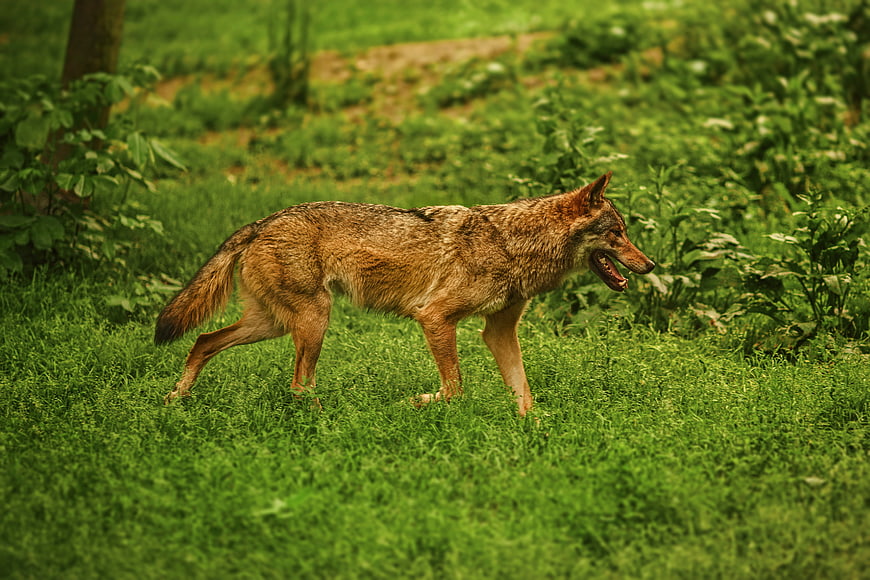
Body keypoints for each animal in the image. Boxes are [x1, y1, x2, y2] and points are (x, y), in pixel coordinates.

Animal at [155, 172, 654, 415]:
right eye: (618, 234)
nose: (650, 266)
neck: (513, 244)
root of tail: (262, 221)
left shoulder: (497, 332)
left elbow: (523, 393)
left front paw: (534, 431)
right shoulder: (434, 317)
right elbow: (455, 390)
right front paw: (414, 403)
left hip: (275, 324)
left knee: (203, 341)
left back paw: (175, 401)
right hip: (313, 322)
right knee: (298, 385)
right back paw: (327, 420)